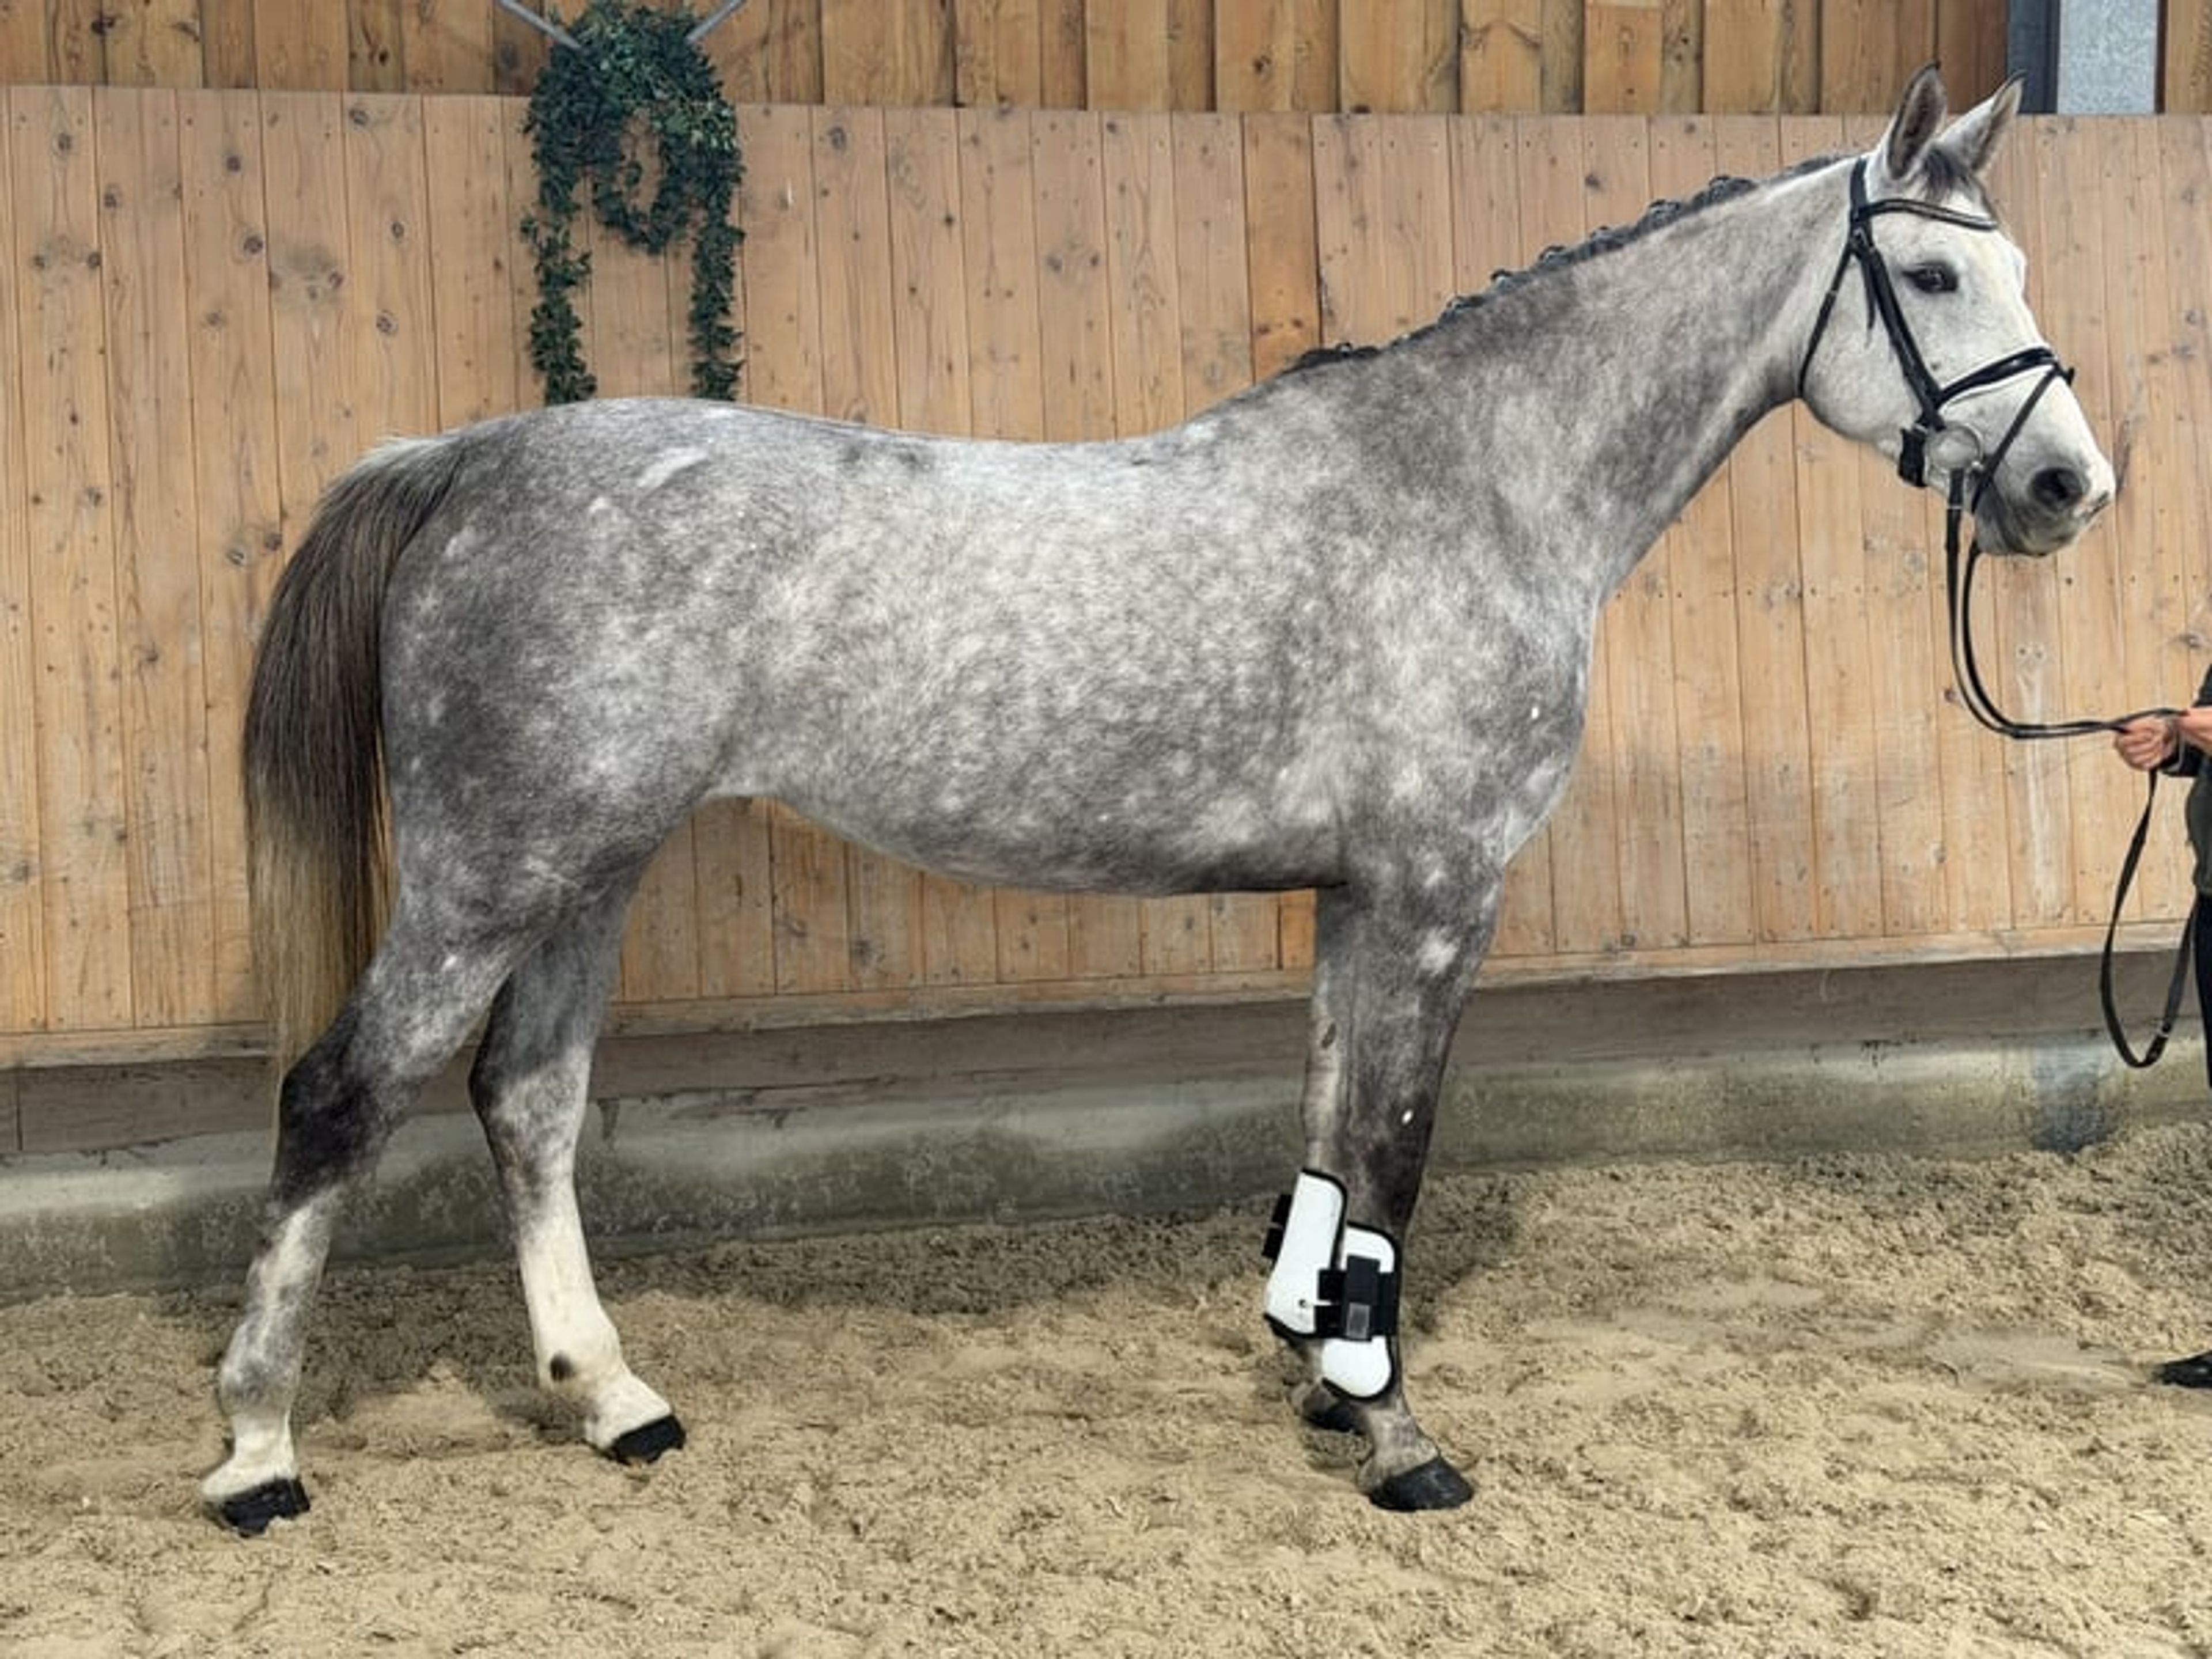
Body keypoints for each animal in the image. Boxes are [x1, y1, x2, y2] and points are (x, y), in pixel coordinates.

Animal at [201, 67, 2113, 1533]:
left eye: (2023, 263)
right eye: (1931, 280)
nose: (2065, 486)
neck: (1472, 488)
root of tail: (465, 459)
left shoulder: (1355, 902)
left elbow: (1331, 1146)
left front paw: (1323, 1380)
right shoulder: (1438, 895)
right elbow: (1395, 1154)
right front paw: (1400, 1441)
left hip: (587, 871)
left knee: (526, 1100)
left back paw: (612, 1400)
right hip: (489, 876)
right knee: (340, 1101)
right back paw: (257, 1452)